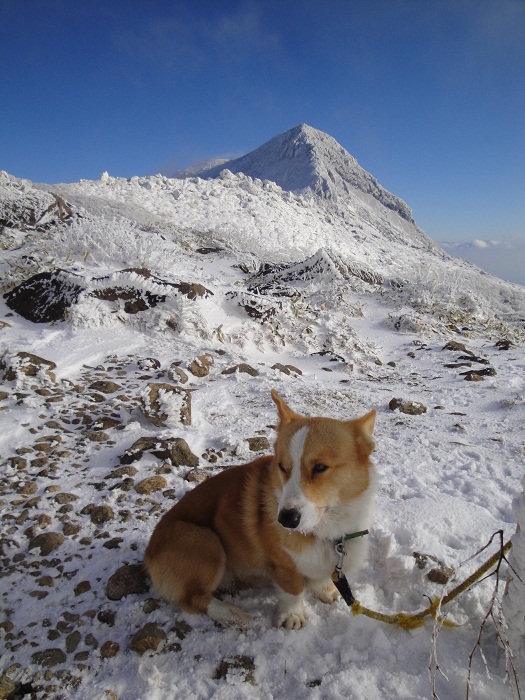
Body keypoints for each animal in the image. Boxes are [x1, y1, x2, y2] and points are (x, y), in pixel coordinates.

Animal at [142, 388, 372, 628]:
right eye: (282, 467)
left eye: (320, 467)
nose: (286, 520)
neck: (326, 528)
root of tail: (148, 555)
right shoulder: (282, 566)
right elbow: (293, 590)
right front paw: (291, 616)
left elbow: (320, 578)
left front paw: (326, 592)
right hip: (203, 539)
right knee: (194, 599)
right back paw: (232, 614)